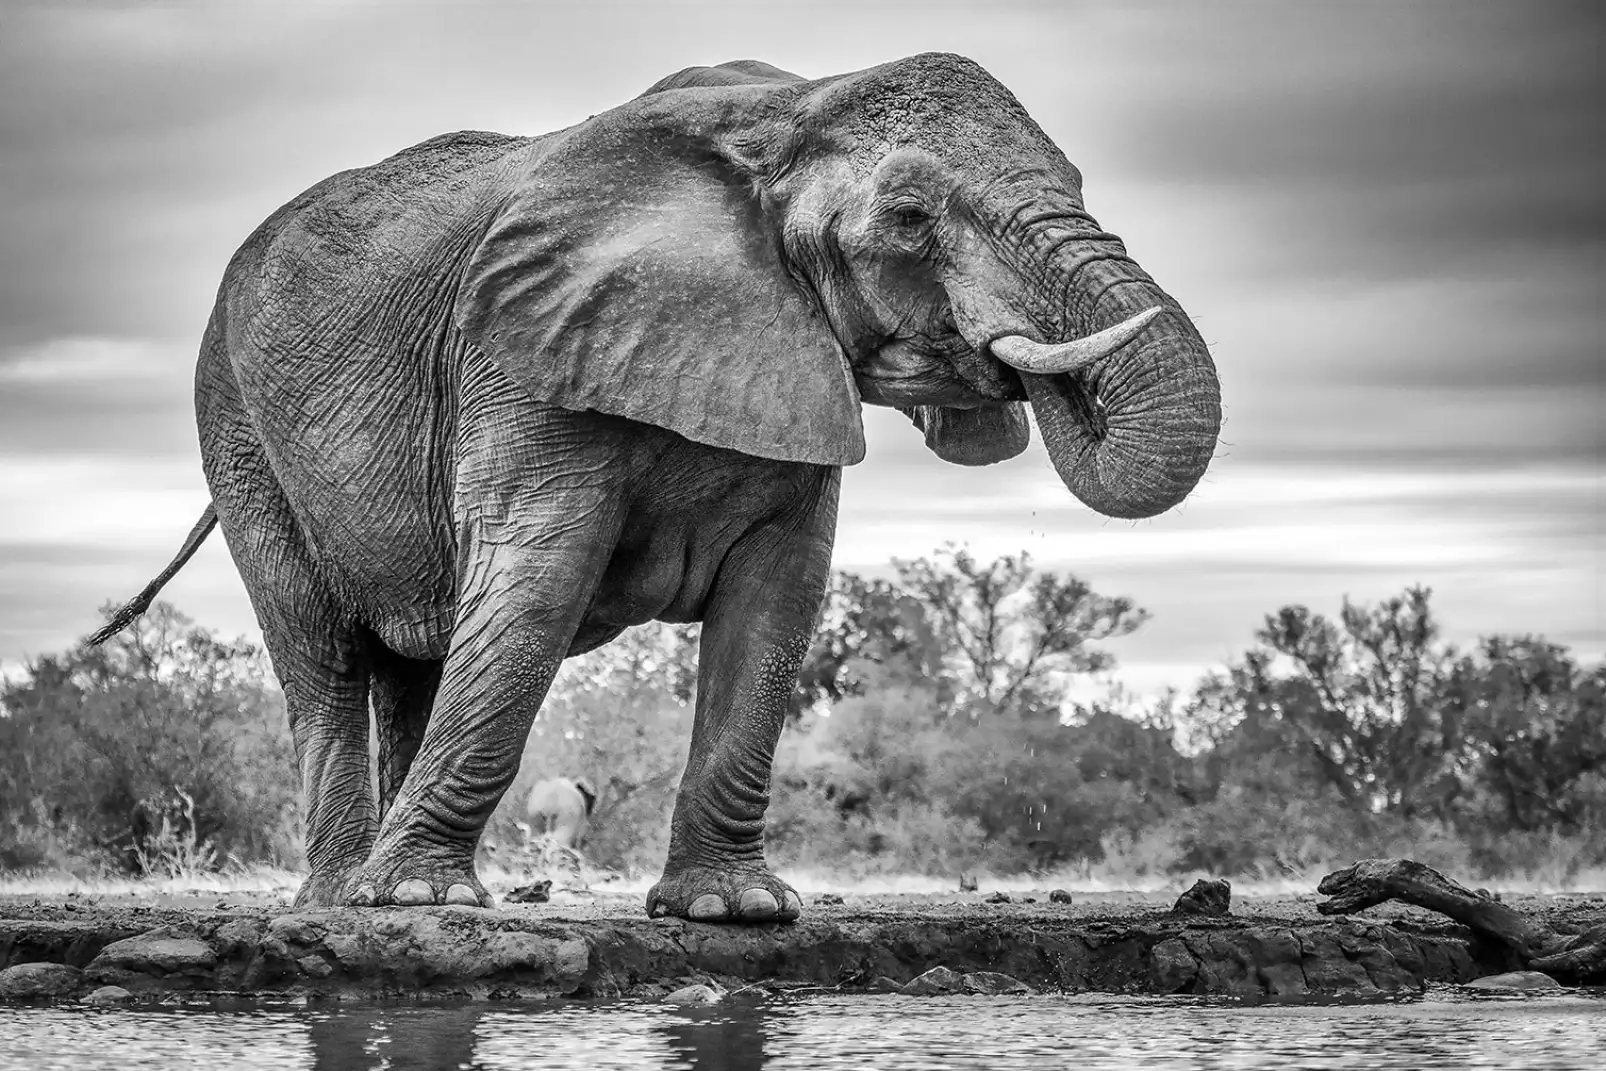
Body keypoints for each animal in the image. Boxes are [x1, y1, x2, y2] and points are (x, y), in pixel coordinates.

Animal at [88, 53, 1220, 922]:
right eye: (908, 219)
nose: (1033, 375)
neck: (790, 108)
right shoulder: (520, 352)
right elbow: (536, 584)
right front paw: (416, 905)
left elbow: (778, 601)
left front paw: (734, 910)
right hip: (237, 423)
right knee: (323, 659)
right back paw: (342, 900)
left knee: (414, 660)